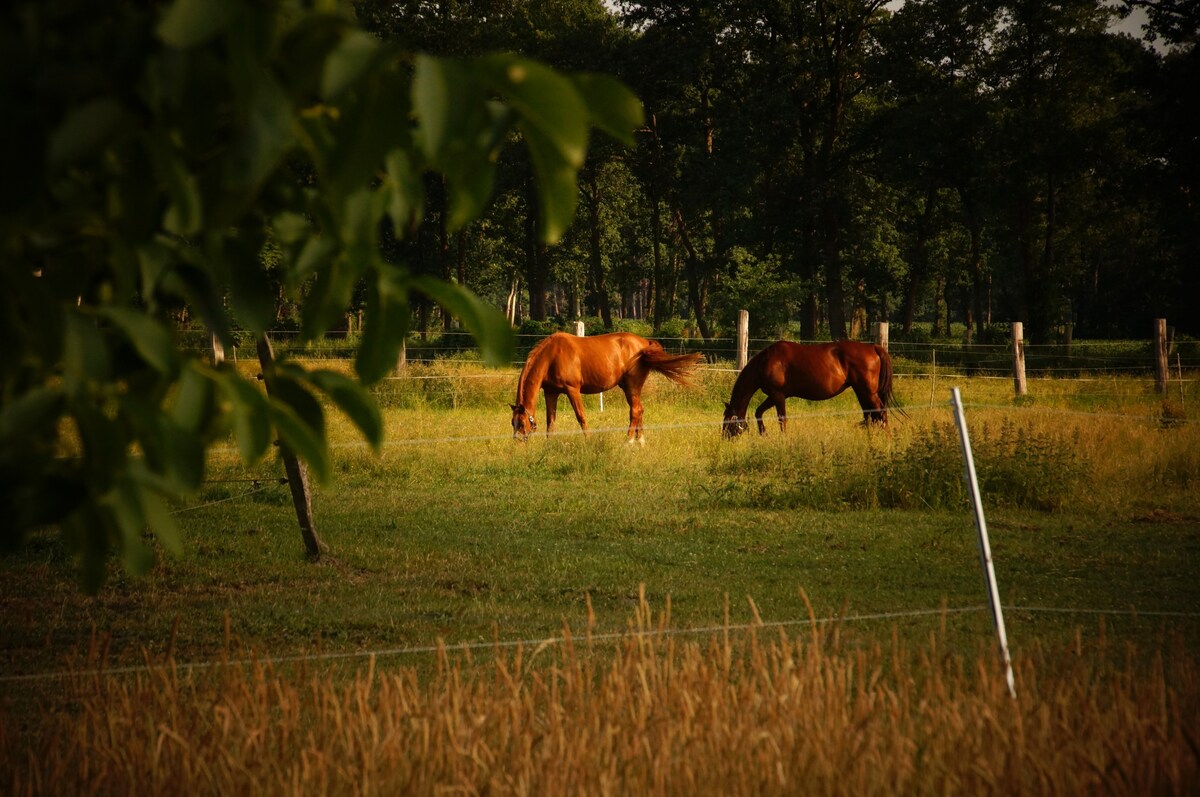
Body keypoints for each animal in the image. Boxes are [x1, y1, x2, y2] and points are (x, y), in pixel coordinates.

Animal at [508, 331, 700, 441]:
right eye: (512, 422)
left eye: (522, 423)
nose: (517, 441)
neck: (552, 355)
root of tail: (645, 344)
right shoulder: (551, 392)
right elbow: (551, 421)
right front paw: (549, 445)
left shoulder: (572, 390)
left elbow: (581, 417)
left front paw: (589, 440)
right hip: (629, 388)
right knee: (639, 410)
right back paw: (640, 442)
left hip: (632, 386)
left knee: (635, 411)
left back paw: (628, 441)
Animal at [715, 338, 897, 436]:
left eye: (727, 420)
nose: (724, 438)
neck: (766, 362)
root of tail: (873, 347)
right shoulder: (774, 396)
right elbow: (758, 412)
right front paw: (763, 434)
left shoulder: (777, 394)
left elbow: (781, 418)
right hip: (861, 391)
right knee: (871, 414)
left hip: (868, 392)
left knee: (880, 411)